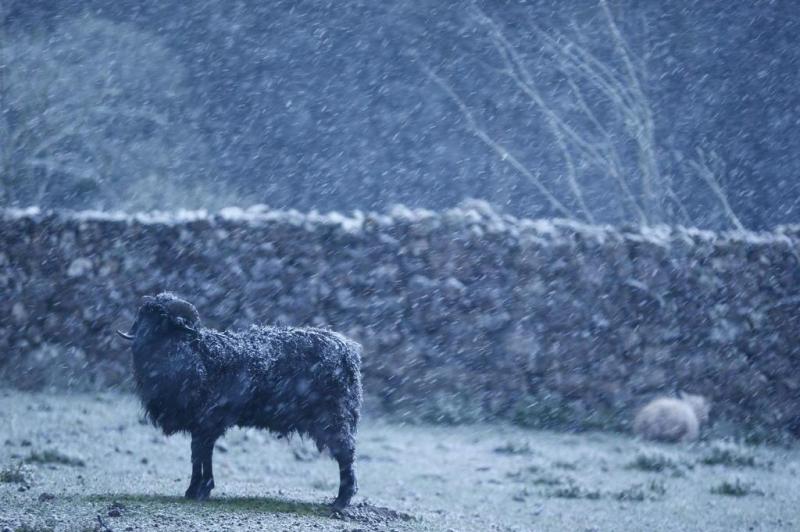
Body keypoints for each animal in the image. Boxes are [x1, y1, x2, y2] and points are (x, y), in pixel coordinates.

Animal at [118, 294, 362, 510]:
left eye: (162, 317)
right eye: (143, 314)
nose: (140, 339)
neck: (197, 355)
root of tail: (349, 351)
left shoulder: (208, 420)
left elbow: (203, 454)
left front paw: (201, 489)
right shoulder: (200, 425)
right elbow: (197, 455)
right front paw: (193, 490)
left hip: (334, 417)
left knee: (346, 455)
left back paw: (340, 502)